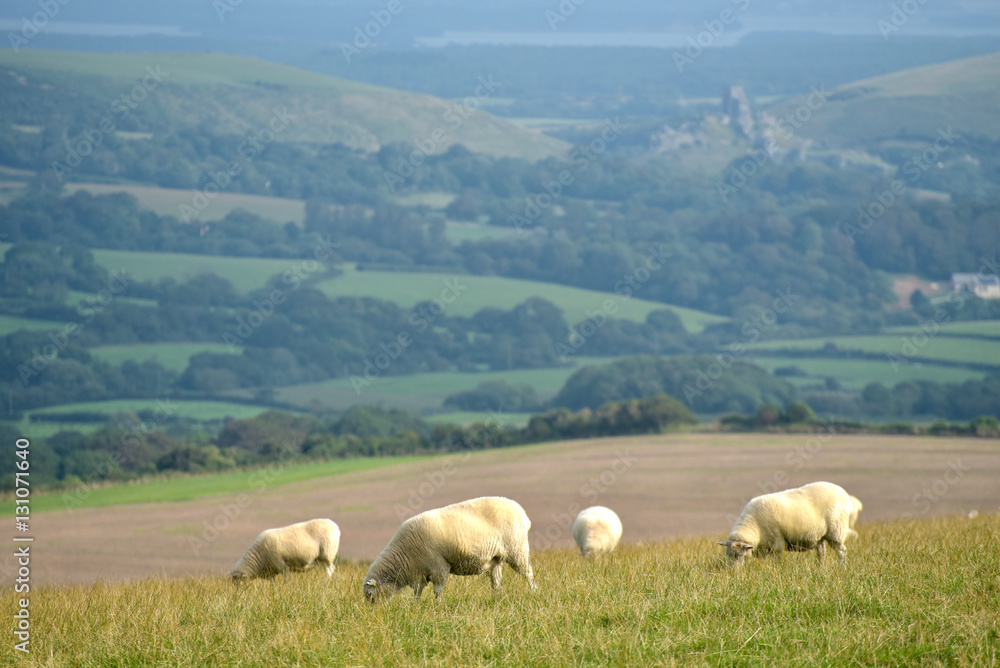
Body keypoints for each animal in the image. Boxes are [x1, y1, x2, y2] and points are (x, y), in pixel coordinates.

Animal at [364, 496, 536, 600]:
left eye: (371, 596)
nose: (375, 614)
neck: (403, 554)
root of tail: (523, 514)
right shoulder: (419, 572)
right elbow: (418, 592)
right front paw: (416, 607)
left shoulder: (438, 566)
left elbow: (437, 589)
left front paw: (437, 605)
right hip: (495, 558)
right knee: (497, 582)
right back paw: (496, 599)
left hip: (517, 550)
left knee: (528, 573)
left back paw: (534, 591)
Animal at [720, 482, 852, 568]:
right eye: (728, 554)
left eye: (740, 555)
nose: (733, 571)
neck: (754, 524)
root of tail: (844, 494)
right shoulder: (764, 546)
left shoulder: (776, 542)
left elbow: (776, 559)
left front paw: (775, 570)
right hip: (820, 535)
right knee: (821, 553)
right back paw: (820, 568)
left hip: (836, 531)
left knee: (842, 551)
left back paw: (843, 567)